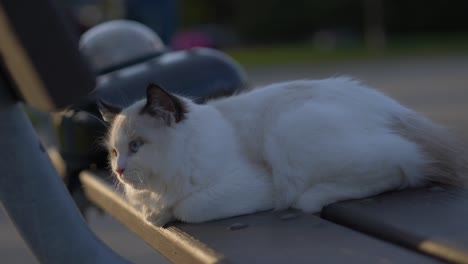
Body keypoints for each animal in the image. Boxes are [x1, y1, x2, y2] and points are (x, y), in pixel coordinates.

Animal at [100, 77, 466, 227]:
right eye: (115, 152)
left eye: (136, 146)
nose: (118, 171)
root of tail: (396, 111)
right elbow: (155, 211)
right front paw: (155, 214)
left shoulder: (254, 186)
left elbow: (188, 206)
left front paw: (164, 214)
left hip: (288, 131)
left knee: (400, 168)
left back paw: (310, 200)